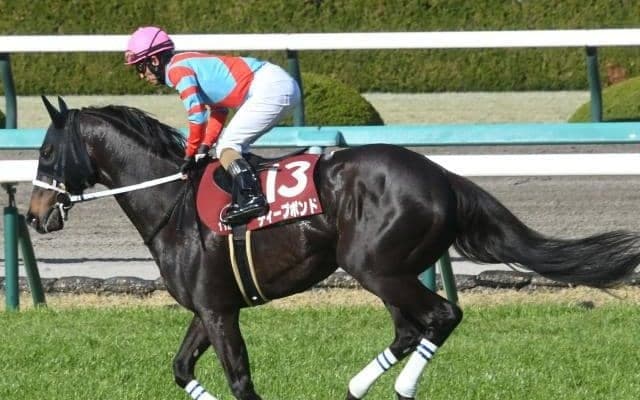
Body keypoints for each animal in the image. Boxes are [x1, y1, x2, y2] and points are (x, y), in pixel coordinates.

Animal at [27, 96, 640, 400]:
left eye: (47, 152)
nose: (33, 214)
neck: (171, 200)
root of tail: (442, 176)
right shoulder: (209, 307)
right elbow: (180, 369)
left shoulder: (220, 311)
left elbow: (240, 380)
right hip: (390, 269)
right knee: (411, 327)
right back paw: (356, 387)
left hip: (374, 265)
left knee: (441, 316)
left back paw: (401, 388)